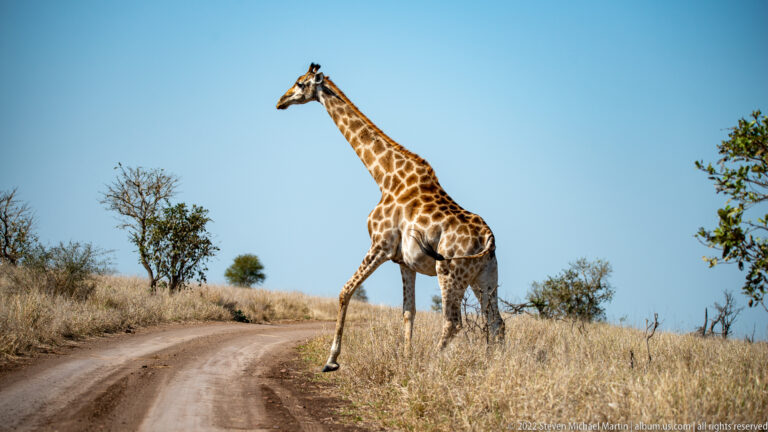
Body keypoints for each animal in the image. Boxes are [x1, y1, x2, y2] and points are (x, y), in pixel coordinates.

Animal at [276, 63, 505, 372]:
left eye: (301, 84)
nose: (280, 101)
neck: (385, 178)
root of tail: (488, 238)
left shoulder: (380, 245)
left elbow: (345, 291)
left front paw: (331, 360)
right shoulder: (404, 262)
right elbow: (409, 312)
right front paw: (406, 359)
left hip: (450, 272)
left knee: (453, 321)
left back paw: (432, 364)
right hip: (485, 276)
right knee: (496, 322)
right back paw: (493, 366)